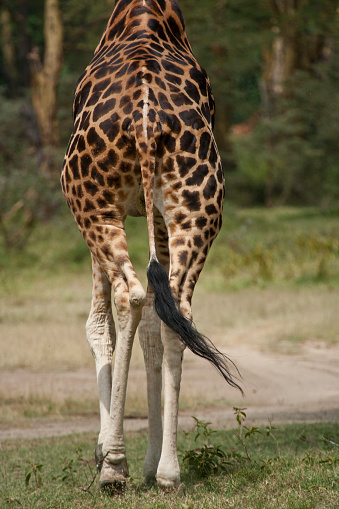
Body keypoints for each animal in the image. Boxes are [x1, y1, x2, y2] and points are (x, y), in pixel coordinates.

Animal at [61, 0, 242, 492]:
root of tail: (146, 118)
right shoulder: (157, 213)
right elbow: (154, 330)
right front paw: (150, 460)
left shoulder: (113, 211)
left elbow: (97, 325)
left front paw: (106, 451)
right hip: (196, 206)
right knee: (177, 306)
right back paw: (168, 472)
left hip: (92, 204)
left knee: (131, 295)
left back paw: (113, 468)